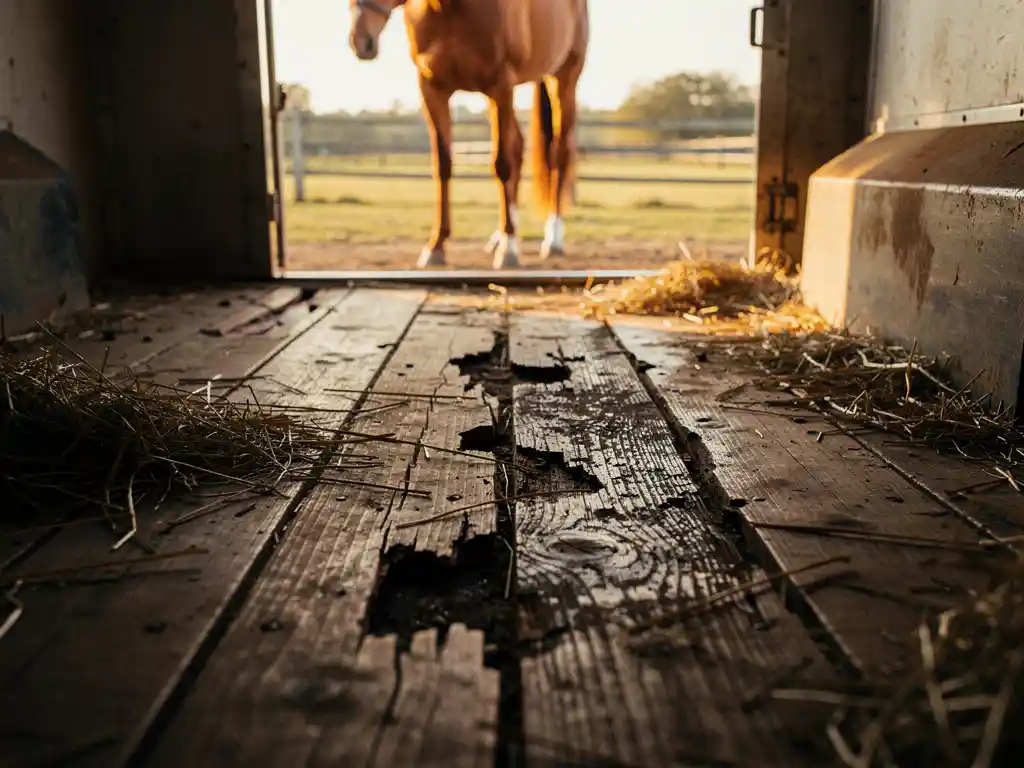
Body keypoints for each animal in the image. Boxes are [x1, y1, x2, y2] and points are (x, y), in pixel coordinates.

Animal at [349, 0, 589, 270]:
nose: (361, 41)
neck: (450, 9)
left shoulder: (501, 85)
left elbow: (502, 165)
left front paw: (508, 250)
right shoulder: (432, 89)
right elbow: (443, 166)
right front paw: (436, 247)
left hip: (563, 80)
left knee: (559, 154)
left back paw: (552, 239)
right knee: (518, 146)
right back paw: (500, 235)